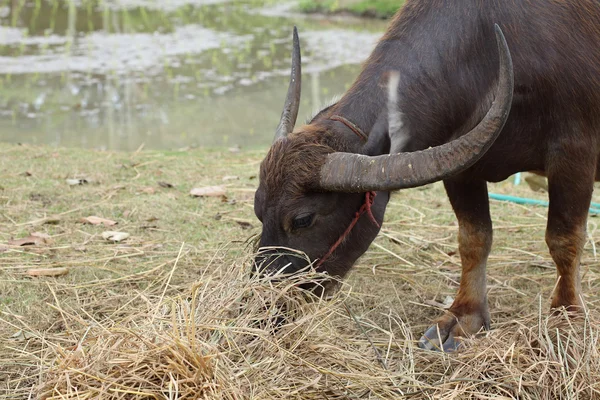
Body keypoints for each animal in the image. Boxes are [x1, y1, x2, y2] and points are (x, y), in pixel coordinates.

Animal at [252, 0, 600, 350]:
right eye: (258, 210)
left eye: (302, 219)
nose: (264, 310)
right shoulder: (462, 167)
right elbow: (473, 239)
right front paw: (464, 316)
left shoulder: (574, 155)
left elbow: (564, 239)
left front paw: (565, 318)